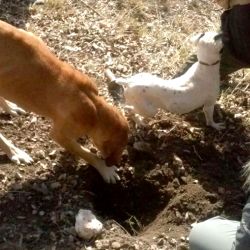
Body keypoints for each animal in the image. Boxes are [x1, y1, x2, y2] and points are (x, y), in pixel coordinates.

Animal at [0, 20, 129, 184]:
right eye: (115, 148)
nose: (116, 162)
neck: (95, 107)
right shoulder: (59, 134)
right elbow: (86, 153)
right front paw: (103, 168)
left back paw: (9, 107)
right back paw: (14, 151)